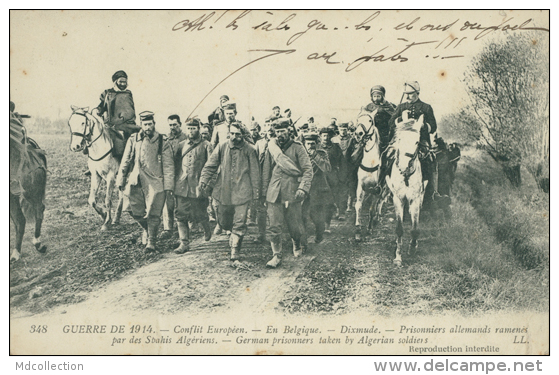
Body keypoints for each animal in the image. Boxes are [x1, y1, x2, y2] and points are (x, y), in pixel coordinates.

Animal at [384, 110, 428, 266]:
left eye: (417, 142)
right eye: (400, 140)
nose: (403, 165)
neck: (406, 175)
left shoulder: (415, 199)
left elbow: (415, 229)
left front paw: (412, 248)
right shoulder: (398, 198)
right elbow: (399, 228)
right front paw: (398, 257)